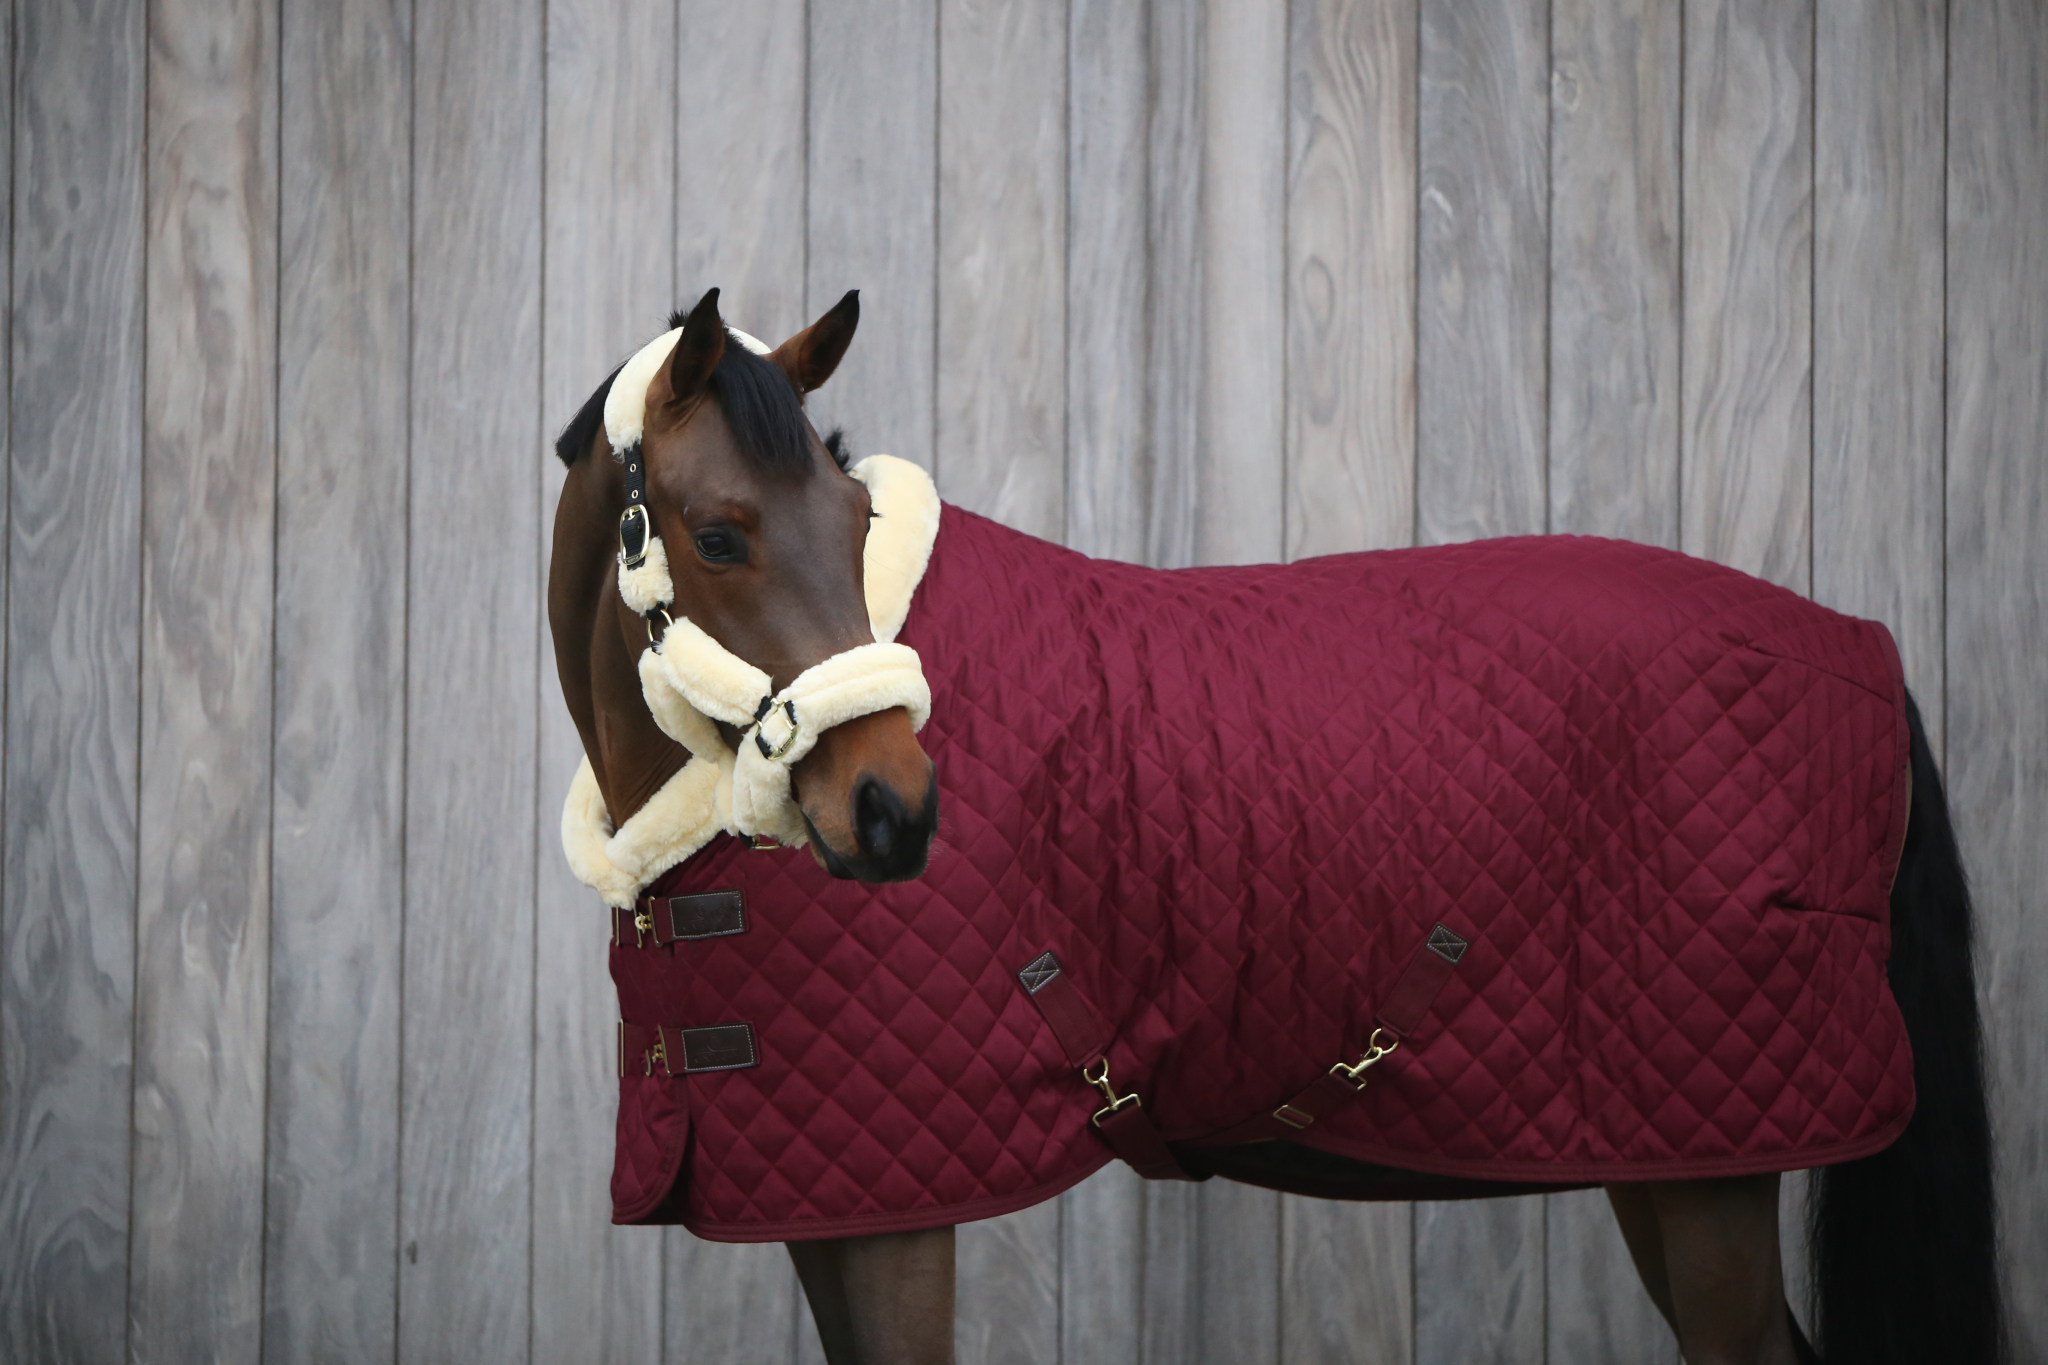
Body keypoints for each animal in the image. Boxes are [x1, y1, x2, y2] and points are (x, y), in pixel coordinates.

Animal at [546, 288, 2004, 1365]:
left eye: (855, 520)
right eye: (720, 535)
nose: (895, 813)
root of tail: (1856, 648)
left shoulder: (900, 1209)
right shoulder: (824, 1205)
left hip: (1706, 1176)